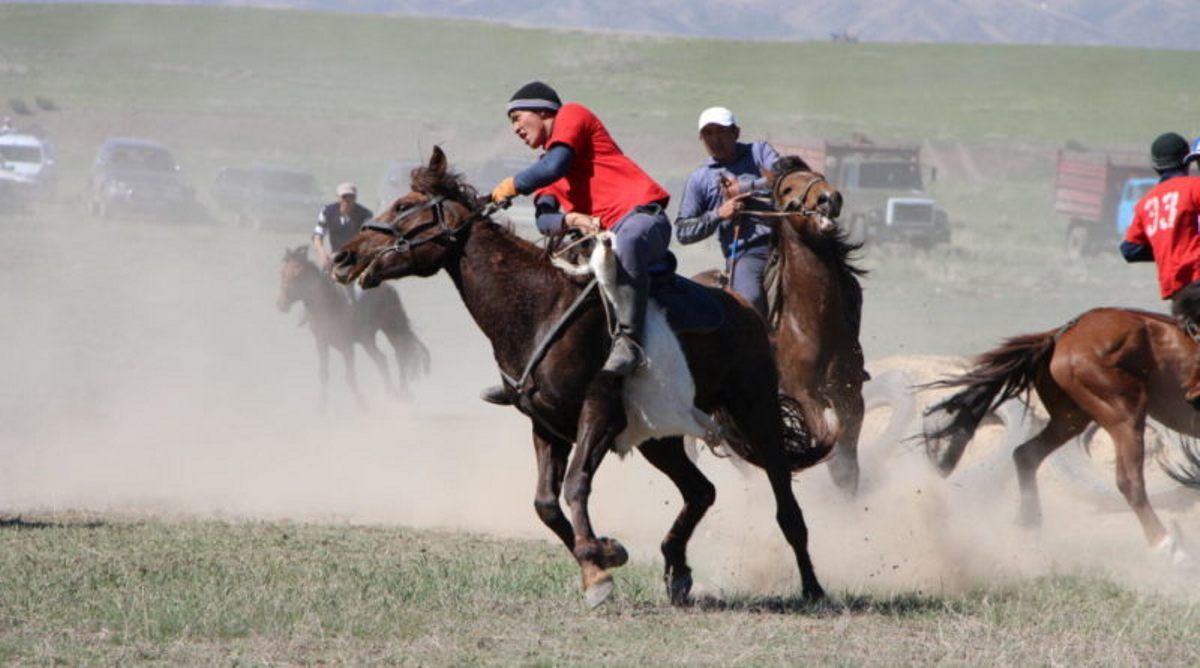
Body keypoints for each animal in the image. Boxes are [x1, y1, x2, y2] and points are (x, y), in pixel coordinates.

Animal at [276, 244, 432, 405]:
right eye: (282, 273)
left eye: (298, 275)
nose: (281, 304)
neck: (327, 304)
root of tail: (389, 290)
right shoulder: (321, 342)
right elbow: (324, 373)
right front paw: (322, 405)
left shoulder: (347, 346)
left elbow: (349, 377)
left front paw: (361, 404)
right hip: (369, 338)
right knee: (385, 358)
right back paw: (396, 393)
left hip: (391, 328)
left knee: (399, 356)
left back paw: (401, 393)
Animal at [328, 148, 835, 606]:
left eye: (403, 206)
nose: (343, 257)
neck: (539, 307)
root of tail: (746, 308)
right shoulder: (546, 425)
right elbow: (546, 503)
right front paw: (597, 568)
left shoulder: (598, 412)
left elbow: (575, 485)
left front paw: (602, 559)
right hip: (661, 436)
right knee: (700, 491)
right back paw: (678, 570)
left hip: (757, 413)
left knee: (785, 504)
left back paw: (812, 588)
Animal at [921, 309, 1200, 563]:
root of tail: (1059, 334)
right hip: (1124, 415)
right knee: (1129, 482)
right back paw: (1168, 547)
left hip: (1072, 419)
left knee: (1025, 454)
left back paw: (1028, 528)